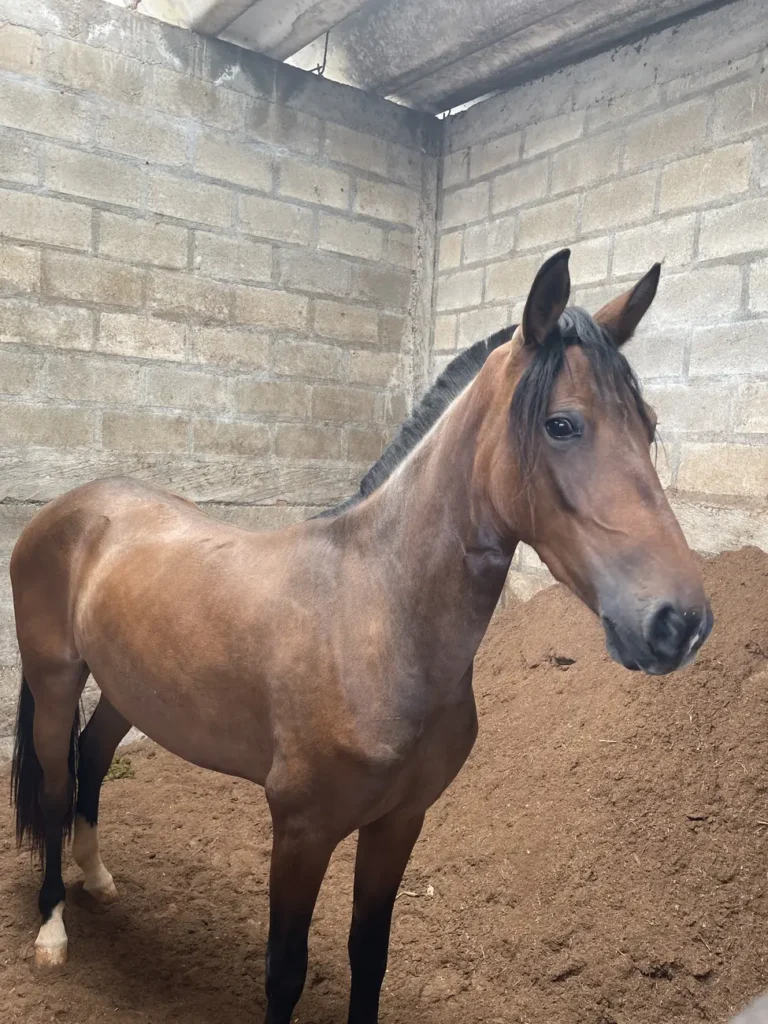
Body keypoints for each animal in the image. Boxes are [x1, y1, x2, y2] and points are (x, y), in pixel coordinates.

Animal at [9, 248, 712, 1024]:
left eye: (648, 424)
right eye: (562, 425)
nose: (680, 622)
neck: (377, 618)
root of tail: (71, 507)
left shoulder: (399, 822)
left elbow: (368, 955)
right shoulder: (301, 830)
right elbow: (285, 971)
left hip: (127, 690)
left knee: (95, 757)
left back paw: (98, 877)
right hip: (55, 680)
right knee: (55, 782)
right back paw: (52, 929)